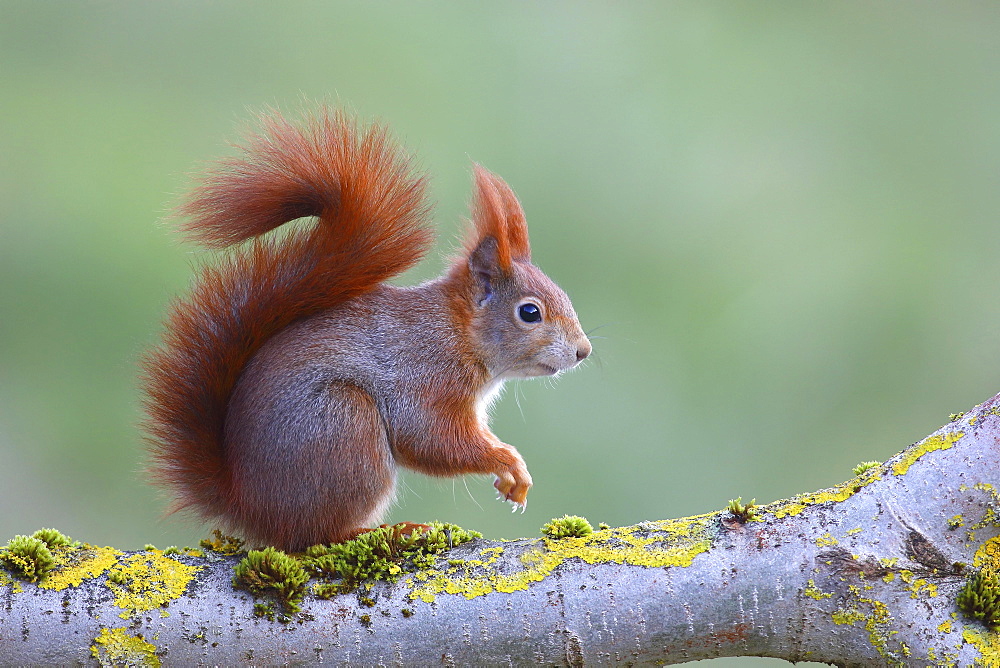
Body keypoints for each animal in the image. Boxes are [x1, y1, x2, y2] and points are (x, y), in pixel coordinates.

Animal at [145, 108, 588, 548]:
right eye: (529, 312)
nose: (583, 351)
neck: (458, 333)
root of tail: (248, 507)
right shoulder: (425, 376)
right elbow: (430, 439)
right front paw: (508, 461)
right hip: (347, 427)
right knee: (314, 536)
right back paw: (390, 530)